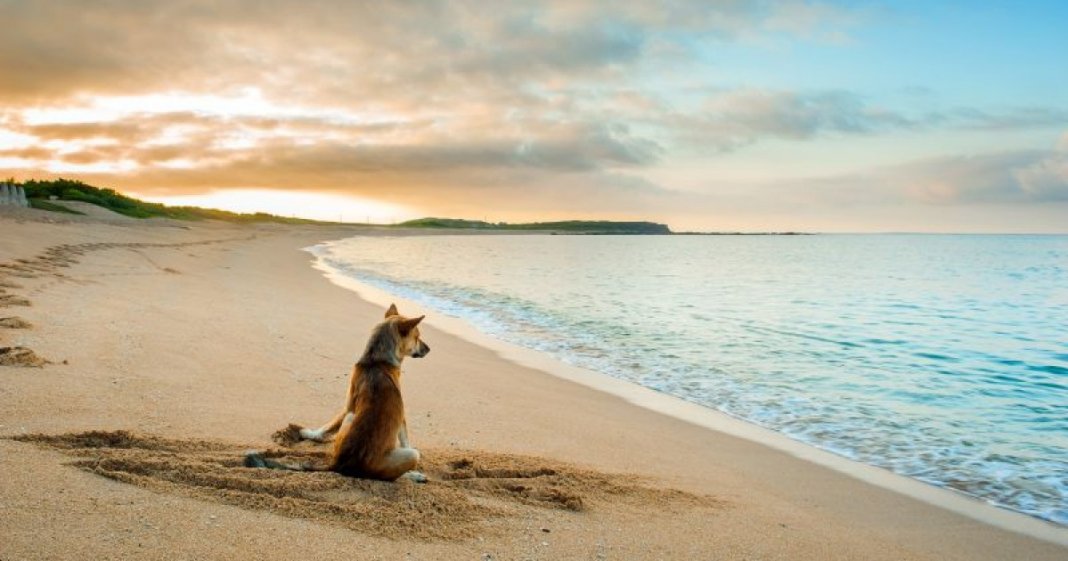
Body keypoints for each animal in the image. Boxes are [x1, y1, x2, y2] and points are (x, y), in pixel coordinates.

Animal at [247, 301, 431, 480]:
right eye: (417, 337)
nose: (429, 349)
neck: (376, 360)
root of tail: (339, 465)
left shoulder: (349, 405)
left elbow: (326, 427)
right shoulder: (399, 417)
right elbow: (405, 439)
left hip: (354, 419)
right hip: (407, 451)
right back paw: (412, 474)